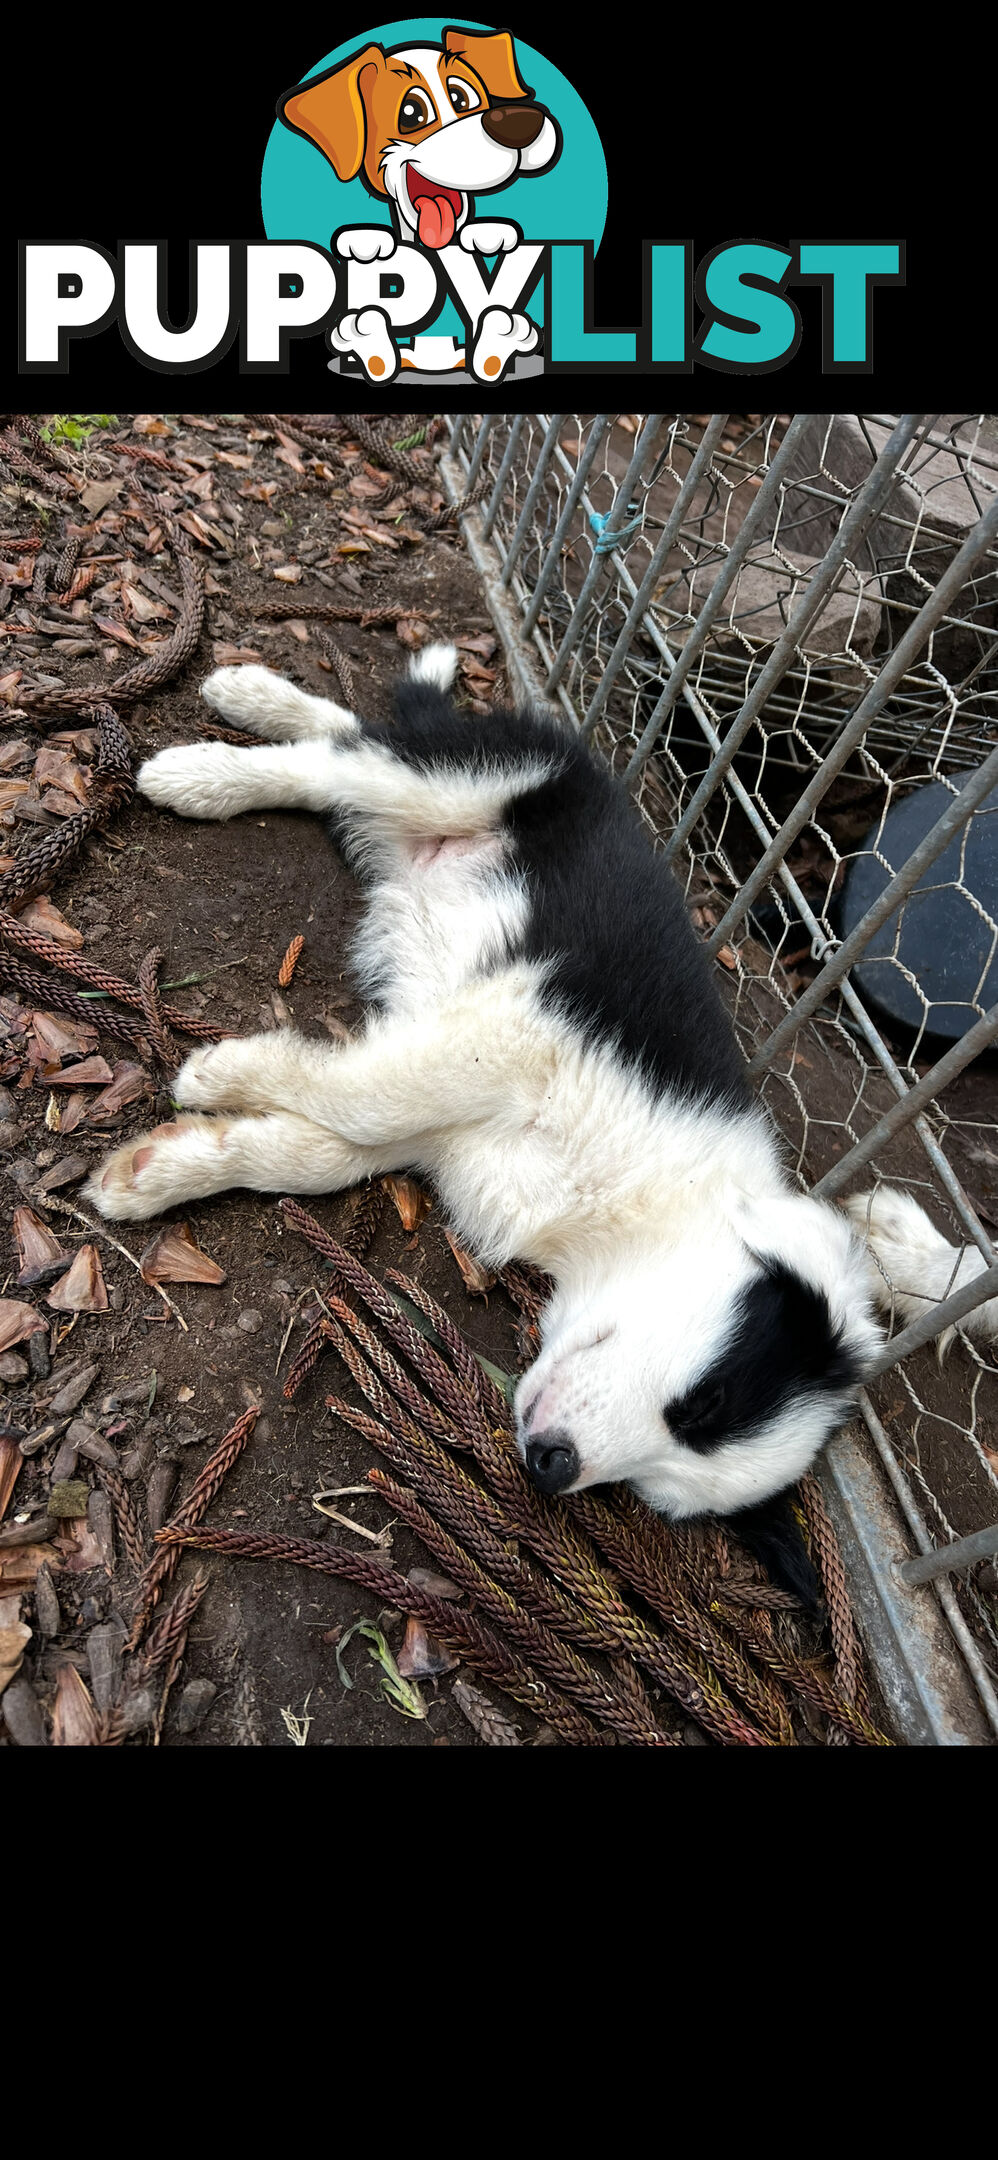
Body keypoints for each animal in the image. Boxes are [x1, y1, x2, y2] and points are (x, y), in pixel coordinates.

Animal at [87, 648, 881, 1598]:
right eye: (704, 1406)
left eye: (652, 1484)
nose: (551, 1467)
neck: (629, 1206)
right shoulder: (517, 1029)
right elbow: (361, 1096)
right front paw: (220, 1073)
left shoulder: (445, 1124)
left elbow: (320, 1150)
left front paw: (162, 1169)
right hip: (478, 785)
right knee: (343, 760)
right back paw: (204, 766)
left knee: (353, 736)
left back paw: (256, 707)